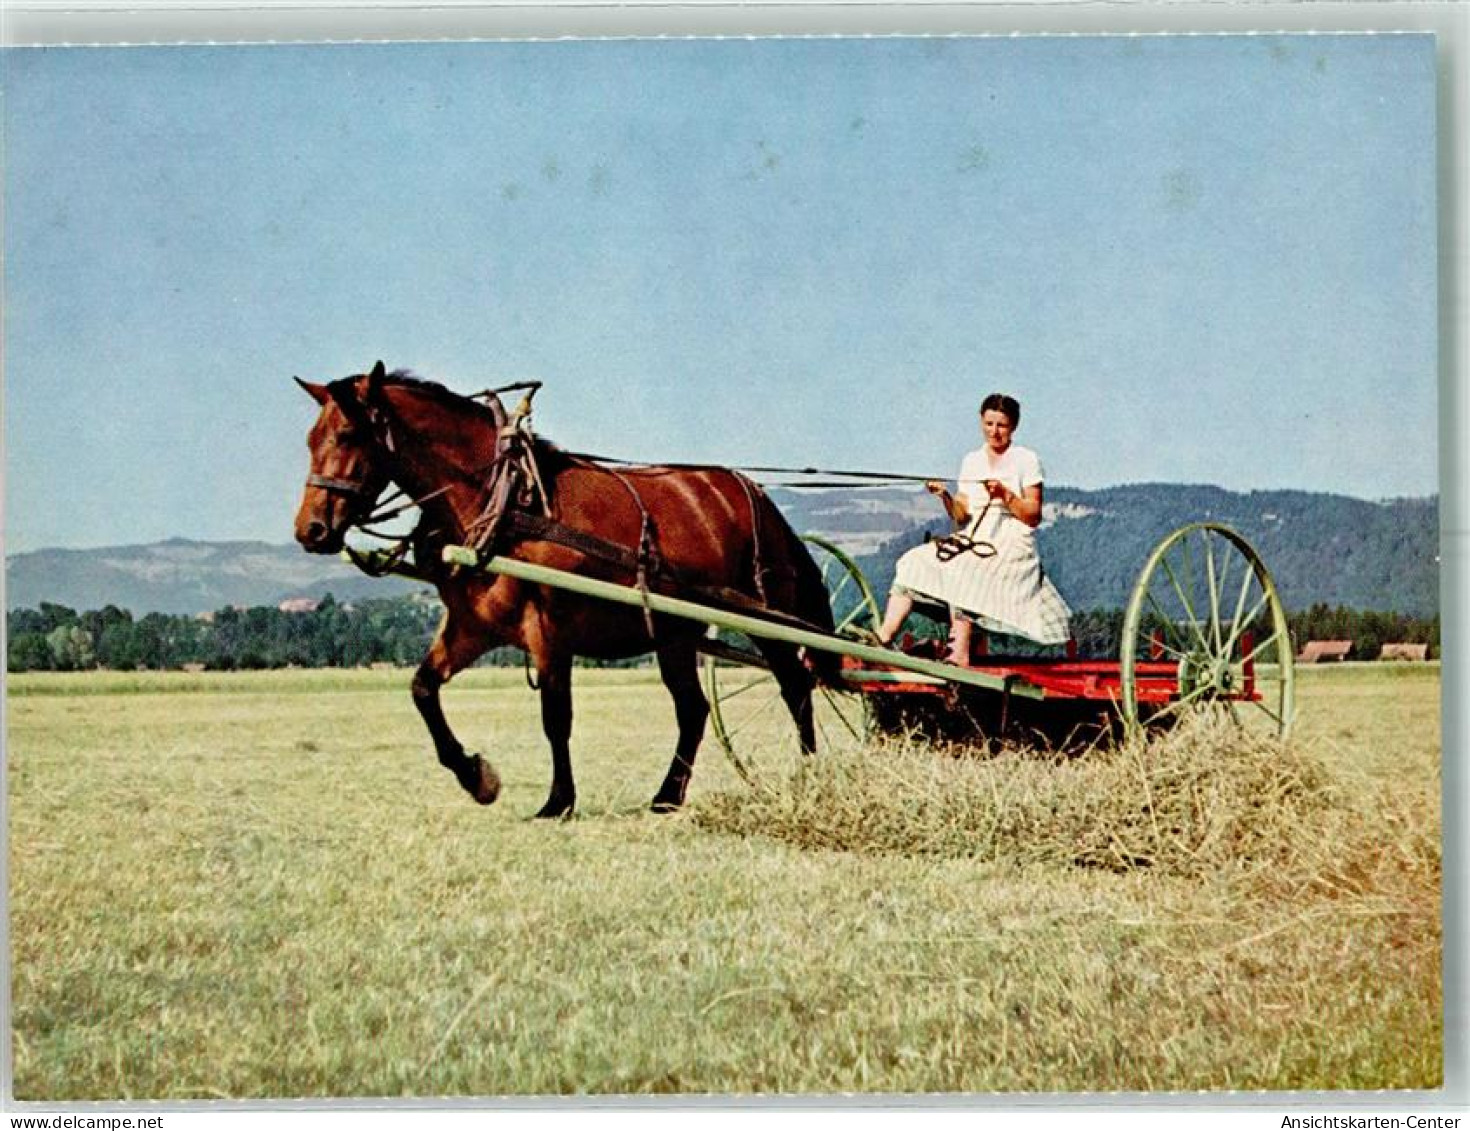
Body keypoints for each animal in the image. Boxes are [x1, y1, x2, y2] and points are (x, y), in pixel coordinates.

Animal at [292, 361, 840, 811]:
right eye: (310, 439)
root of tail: (753, 492)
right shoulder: (471, 627)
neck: (504, 501)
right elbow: (423, 689)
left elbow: (556, 717)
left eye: (348, 434)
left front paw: (557, 801)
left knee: (796, 687)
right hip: (675, 632)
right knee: (694, 708)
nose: (309, 530)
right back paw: (667, 795)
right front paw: (477, 777)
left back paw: (808, 777)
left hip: (766, 617)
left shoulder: (550, 631)